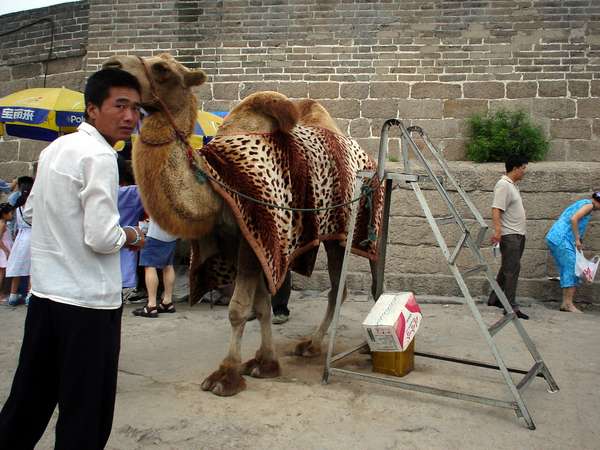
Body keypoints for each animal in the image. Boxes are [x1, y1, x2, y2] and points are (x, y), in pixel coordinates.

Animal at [102, 53, 380, 398]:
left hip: (355, 225)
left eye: (162, 68)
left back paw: (349, 346)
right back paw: (316, 345)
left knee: (360, 283)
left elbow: (238, 308)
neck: (214, 183)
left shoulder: (254, 238)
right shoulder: (248, 243)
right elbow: (260, 306)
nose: (111, 66)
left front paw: (226, 375)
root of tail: (367, 156)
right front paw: (264, 362)